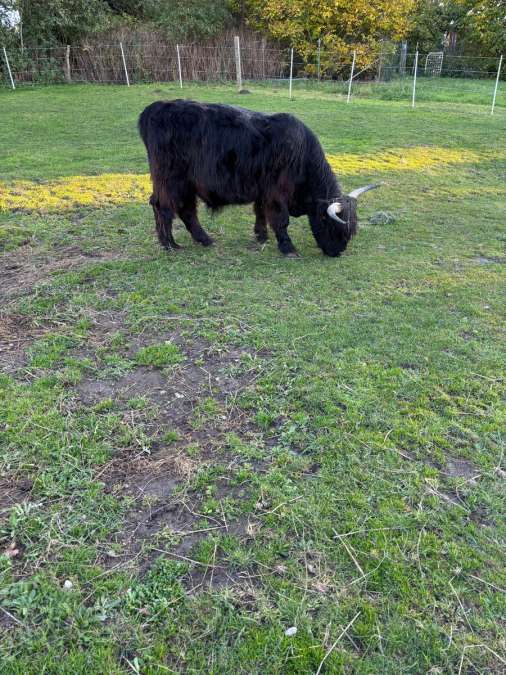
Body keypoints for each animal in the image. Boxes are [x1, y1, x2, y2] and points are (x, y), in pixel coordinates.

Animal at [138, 99, 379, 257]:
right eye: (331, 225)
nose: (337, 251)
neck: (301, 155)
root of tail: (155, 108)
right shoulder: (277, 192)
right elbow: (281, 219)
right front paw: (288, 248)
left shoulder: (263, 191)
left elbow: (260, 212)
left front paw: (261, 236)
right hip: (170, 180)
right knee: (163, 207)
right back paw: (169, 244)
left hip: (186, 184)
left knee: (186, 210)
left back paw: (205, 240)